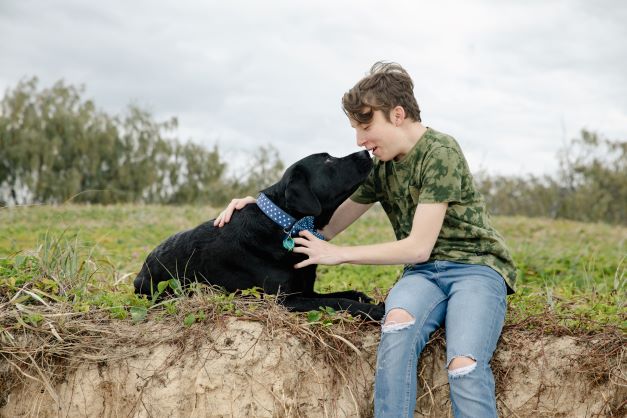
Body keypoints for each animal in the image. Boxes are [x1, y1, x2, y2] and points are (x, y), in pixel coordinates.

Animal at [135, 150, 386, 320]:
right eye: (327, 160)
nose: (365, 151)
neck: (285, 224)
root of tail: (141, 271)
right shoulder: (285, 301)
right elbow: (339, 301)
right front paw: (375, 309)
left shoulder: (305, 290)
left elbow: (342, 294)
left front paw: (363, 297)